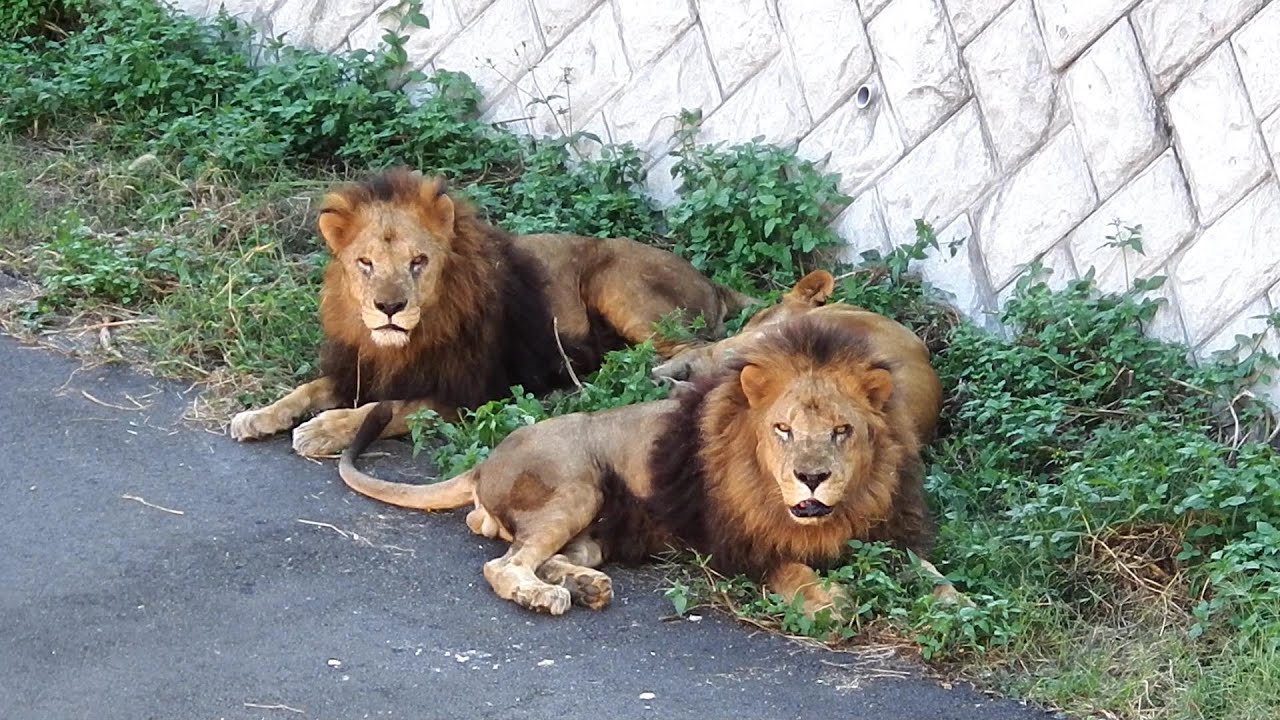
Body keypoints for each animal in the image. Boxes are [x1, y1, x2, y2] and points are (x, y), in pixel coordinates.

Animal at [229, 169, 751, 456]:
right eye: (365, 263)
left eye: (418, 262)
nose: (389, 308)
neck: (402, 343)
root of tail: (711, 281)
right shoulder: (357, 369)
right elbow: (306, 390)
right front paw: (257, 415)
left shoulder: (461, 393)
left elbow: (381, 411)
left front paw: (320, 430)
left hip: (614, 279)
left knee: (695, 349)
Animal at [336, 313, 955, 618]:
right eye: (783, 429)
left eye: (841, 431)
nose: (812, 477)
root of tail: (489, 459)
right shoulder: (739, 545)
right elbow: (796, 573)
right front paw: (832, 602)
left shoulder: (890, 535)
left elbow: (932, 577)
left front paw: (961, 606)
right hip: (575, 486)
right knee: (504, 565)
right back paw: (548, 596)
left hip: (595, 532)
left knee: (541, 555)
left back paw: (585, 585)